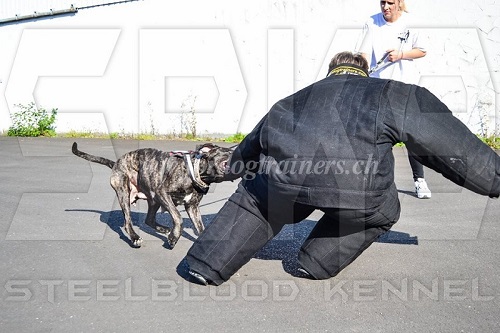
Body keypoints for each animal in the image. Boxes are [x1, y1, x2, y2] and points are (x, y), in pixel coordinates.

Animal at [72, 141, 232, 248]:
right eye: (230, 152)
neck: (195, 171)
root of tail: (116, 163)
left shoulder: (192, 207)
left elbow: (200, 227)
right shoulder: (164, 194)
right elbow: (178, 217)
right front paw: (174, 237)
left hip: (153, 199)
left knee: (148, 219)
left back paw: (162, 229)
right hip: (125, 193)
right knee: (127, 221)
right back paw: (135, 237)